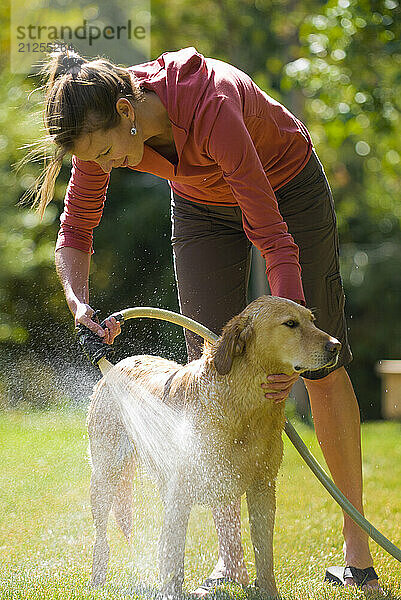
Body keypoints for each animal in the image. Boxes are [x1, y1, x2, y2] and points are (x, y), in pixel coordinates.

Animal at [87, 296, 340, 600]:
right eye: (290, 323)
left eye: (312, 321)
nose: (336, 346)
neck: (244, 408)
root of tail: (116, 366)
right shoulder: (180, 494)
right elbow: (173, 557)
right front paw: (170, 592)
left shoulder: (263, 487)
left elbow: (263, 552)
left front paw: (268, 592)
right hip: (105, 476)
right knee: (101, 536)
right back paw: (97, 580)